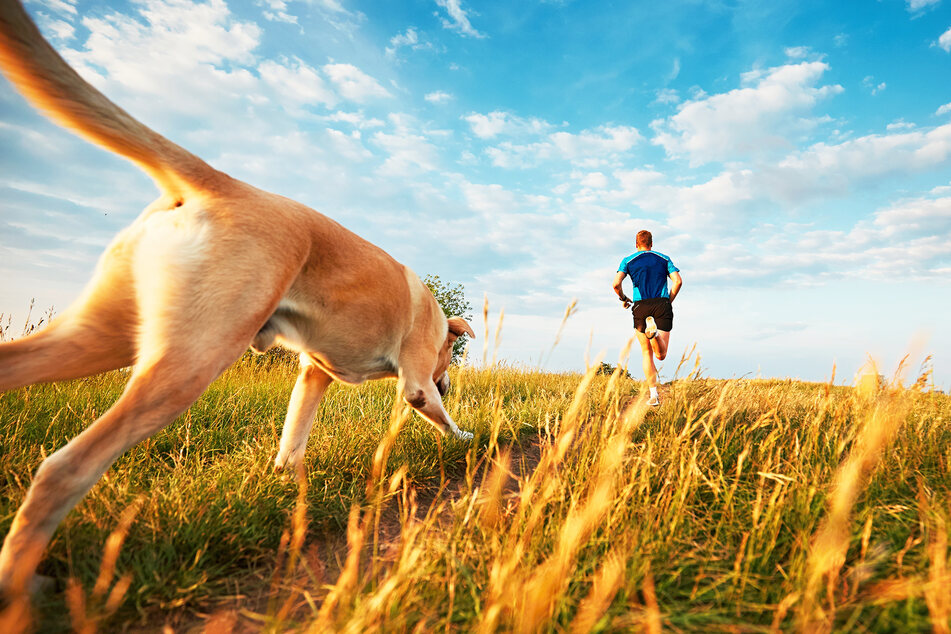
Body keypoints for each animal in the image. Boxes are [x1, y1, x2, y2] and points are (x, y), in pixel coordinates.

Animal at [0, 1, 476, 592]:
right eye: (447, 358)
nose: (450, 382)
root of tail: (220, 181)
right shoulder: (414, 384)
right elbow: (441, 418)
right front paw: (468, 437)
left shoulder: (313, 374)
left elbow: (293, 437)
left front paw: (288, 484)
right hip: (190, 360)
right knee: (65, 469)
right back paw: (22, 585)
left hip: (97, 337)